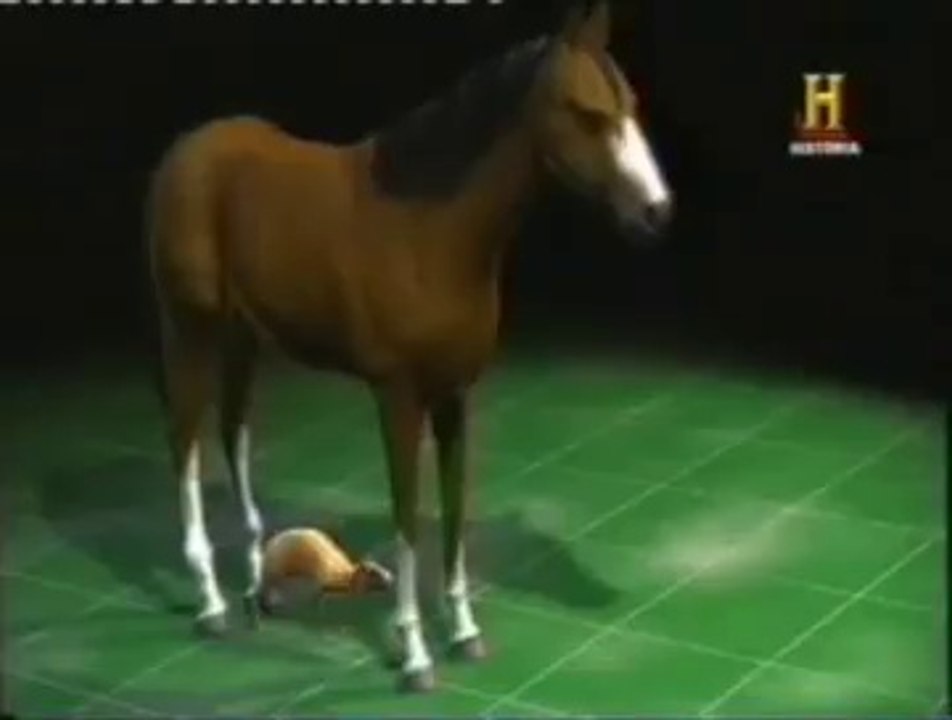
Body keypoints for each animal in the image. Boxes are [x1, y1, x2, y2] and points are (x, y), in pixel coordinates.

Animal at [147, 0, 672, 693]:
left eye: (631, 104)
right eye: (586, 111)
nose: (656, 211)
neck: (429, 230)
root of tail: (186, 148)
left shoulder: (454, 394)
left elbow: (450, 516)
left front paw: (466, 634)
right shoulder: (396, 396)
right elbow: (406, 521)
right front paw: (417, 655)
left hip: (243, 338)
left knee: (233, 435)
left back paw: (258, 591)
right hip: (192, 330)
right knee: (184, 445)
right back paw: (210, 604)